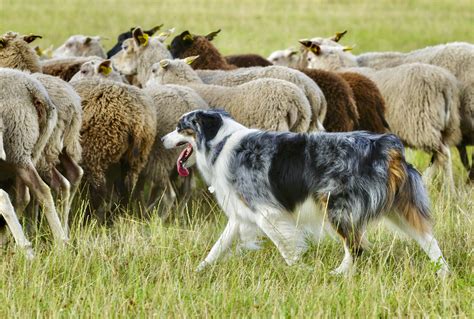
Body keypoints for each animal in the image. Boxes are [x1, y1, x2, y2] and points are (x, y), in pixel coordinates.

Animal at [163, 110, 448, 278]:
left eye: (179, 127)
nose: (162, 140)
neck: (220, 143)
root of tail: (387, 146)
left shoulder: (267, 213)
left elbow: (286, 247)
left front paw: (300, 270)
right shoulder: (241, 213)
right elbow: (217, 247)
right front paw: (199, 270)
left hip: (337, 207)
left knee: (356, 247)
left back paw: (338, 274)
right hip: (398, 208)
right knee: (429, 240)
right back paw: (443, 272)